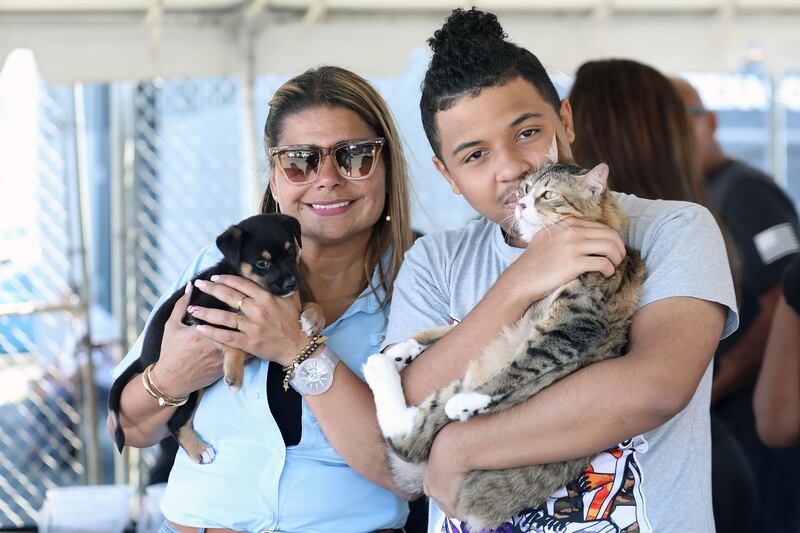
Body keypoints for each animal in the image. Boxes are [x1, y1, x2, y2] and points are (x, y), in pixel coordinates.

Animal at [108, 214, 324, 464]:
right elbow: (233, 334)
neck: (238, 275)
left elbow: (309, 304)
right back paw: (198, 450)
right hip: (188, 388)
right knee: (175, 422)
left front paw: (314, 318)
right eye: (263, 263)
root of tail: (143, 359)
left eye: (291, 252)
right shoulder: (201, 314)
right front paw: (234, 374)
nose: (291, 284)